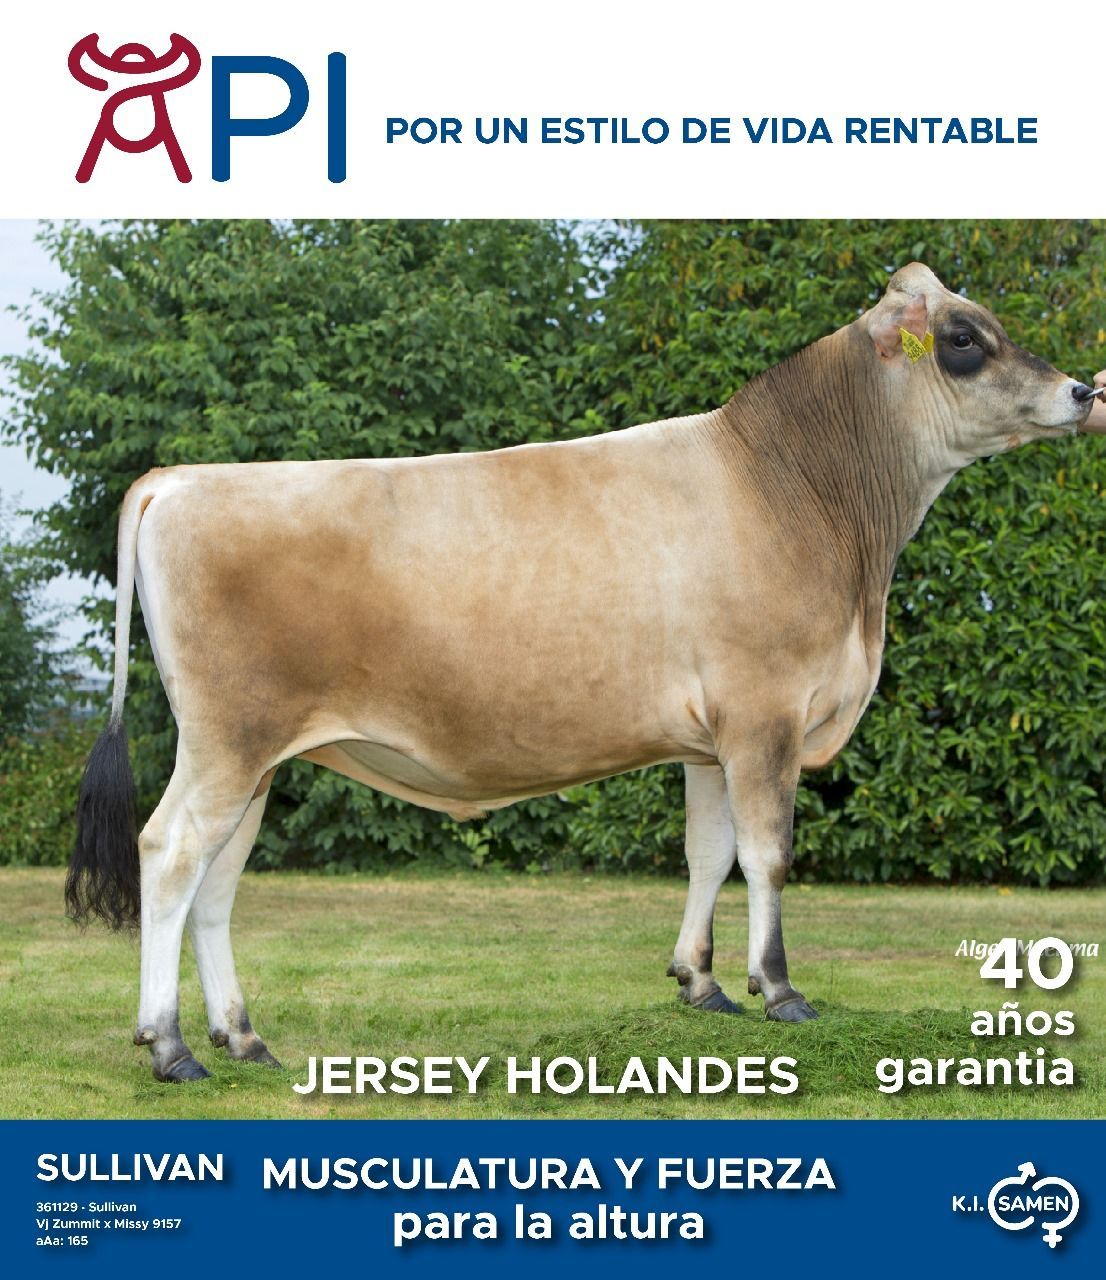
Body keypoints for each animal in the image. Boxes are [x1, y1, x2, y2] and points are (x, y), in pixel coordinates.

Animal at [66, 262, 1098, 1082]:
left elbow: (709, 852)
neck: (808, 495)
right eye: (962, 340)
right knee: (169, 856)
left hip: (259, 758)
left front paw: (701, 984)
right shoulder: (764, 714)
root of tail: (180, 478)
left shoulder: (710, 740)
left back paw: (242, 1038)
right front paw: (779, 991)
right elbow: (767, 854)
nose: (1083, 390)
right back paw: (170, 1047)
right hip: (226, 741)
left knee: (217, 885)